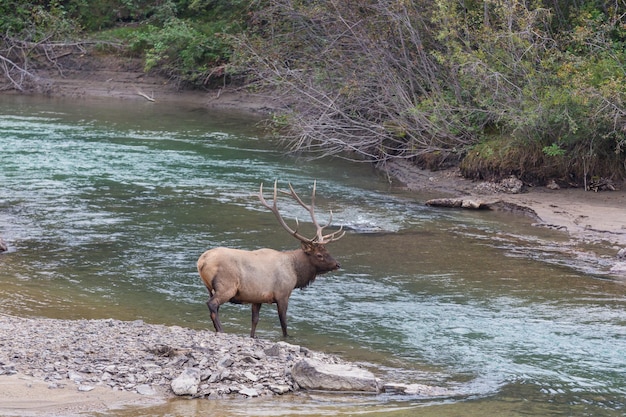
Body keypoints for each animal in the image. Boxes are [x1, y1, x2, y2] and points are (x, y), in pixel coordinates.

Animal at [197, 180, 344, 336]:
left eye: (327, 250)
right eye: (319, 255)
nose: (337, 264)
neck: (295, 272)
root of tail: (201, 262)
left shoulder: (257, 297)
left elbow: (255, 321)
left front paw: (253, 336)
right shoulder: (282, 294)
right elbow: (284, 324)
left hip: (210, 288)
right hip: (226, 285)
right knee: (212, 304)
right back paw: (221, 329)